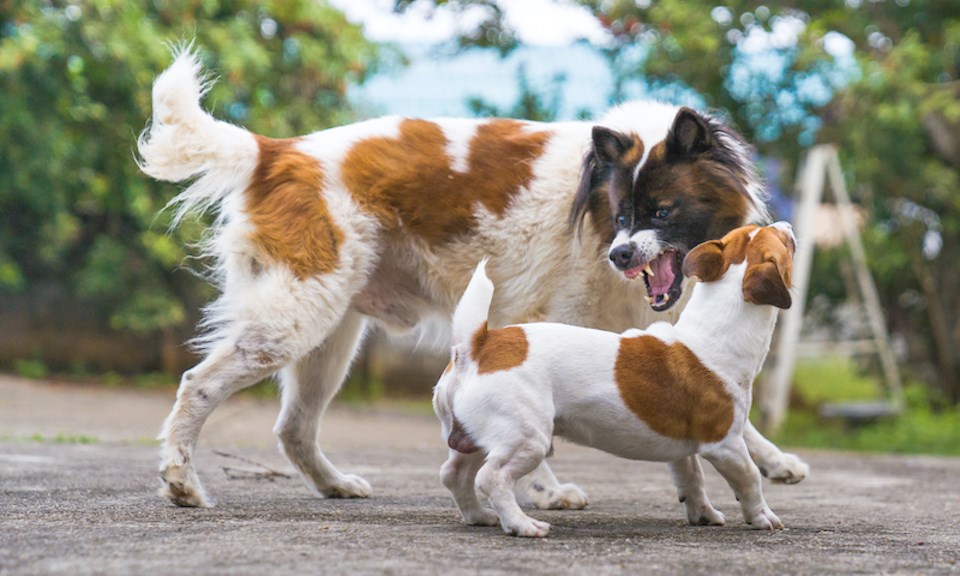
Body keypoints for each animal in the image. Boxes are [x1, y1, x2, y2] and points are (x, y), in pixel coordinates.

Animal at [434, 223, 796, 536]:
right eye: (783, 241)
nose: (787, 225)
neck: (710, 334)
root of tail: (477, 345)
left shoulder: (682, 449)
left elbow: (692, 480)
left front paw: (702, 514)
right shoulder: (726, 445)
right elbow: (750, 478)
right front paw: (762, 517)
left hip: (474, 438)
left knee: (454, 475)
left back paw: (479, 515)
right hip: (527, 439)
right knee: (491, 478)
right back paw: (521, 524)